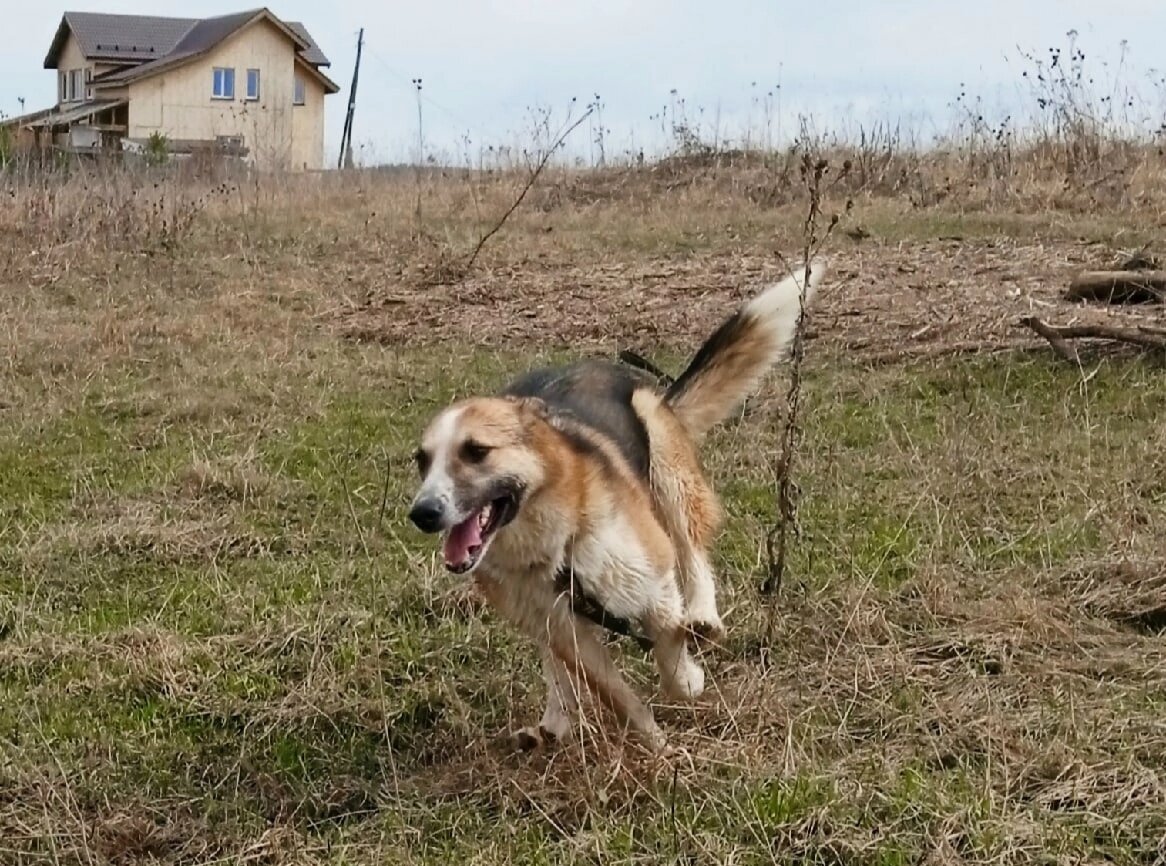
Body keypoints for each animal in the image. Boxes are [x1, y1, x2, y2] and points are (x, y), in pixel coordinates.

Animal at [405, 258, 825, 750]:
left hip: (666, 466)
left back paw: (703, 616)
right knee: (555, 664)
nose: (422, 514)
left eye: (476, 451)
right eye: (422, 461)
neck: (553, 544)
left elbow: (670, 654)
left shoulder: (654, 581)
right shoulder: (563, 628)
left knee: (692, 551)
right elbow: (616, 695)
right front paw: (657, 745)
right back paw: (556, 718)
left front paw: (688, 680)